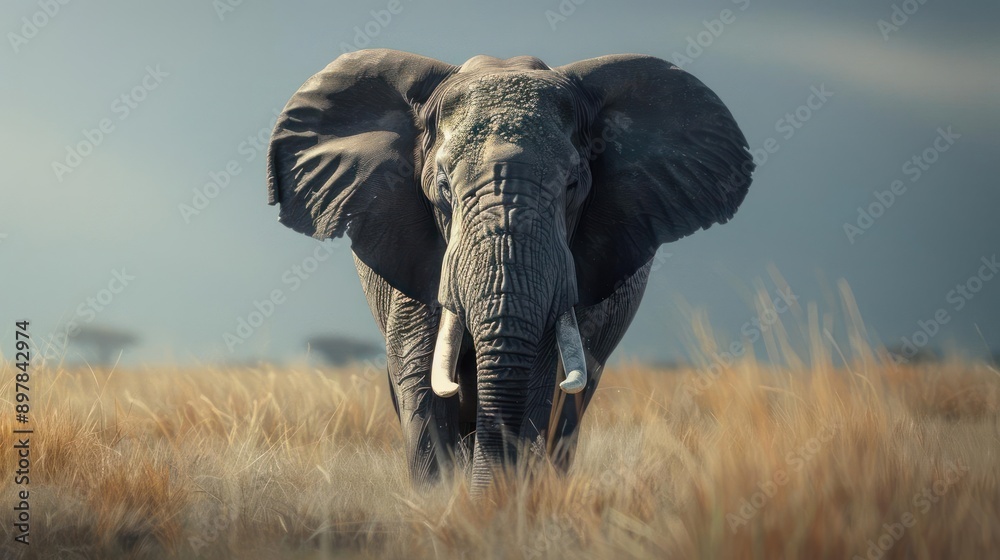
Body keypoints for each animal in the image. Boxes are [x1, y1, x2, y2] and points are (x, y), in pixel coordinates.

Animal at [266, 49, 754, 492]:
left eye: (572, 185)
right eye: (443, 187)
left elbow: (540, 380)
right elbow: (421, 379)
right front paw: (441, 504)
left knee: (570, 408)